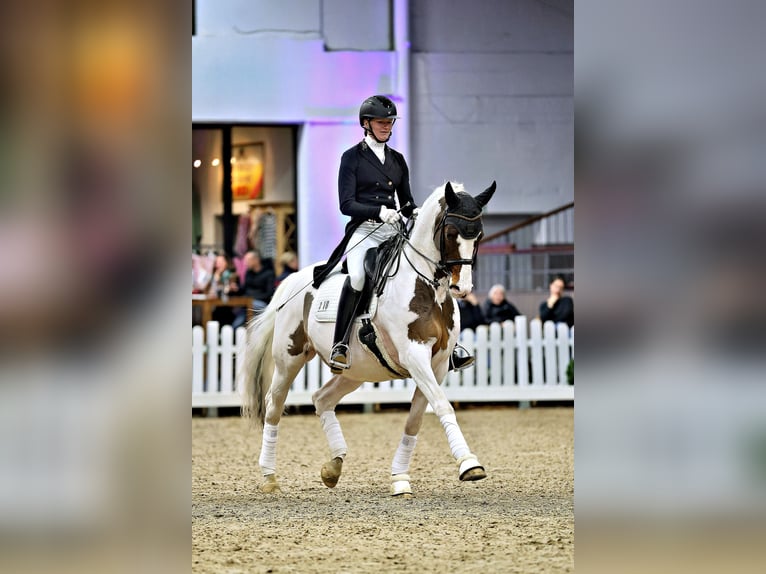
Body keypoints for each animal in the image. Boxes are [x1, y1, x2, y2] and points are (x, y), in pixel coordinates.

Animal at [241, 180, 496, 496]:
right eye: (450, 233)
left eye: (479, 235)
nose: (464, 288)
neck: (427, 286)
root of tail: (291, 280)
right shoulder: (414, 356)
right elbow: (442, 405)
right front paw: (469, 464)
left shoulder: (436, 365)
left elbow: (415, 419)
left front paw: (399, 478)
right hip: (289, 359)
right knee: (274, 407)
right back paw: (269, 477)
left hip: (356, 371)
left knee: (322, 399)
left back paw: (333, 467)